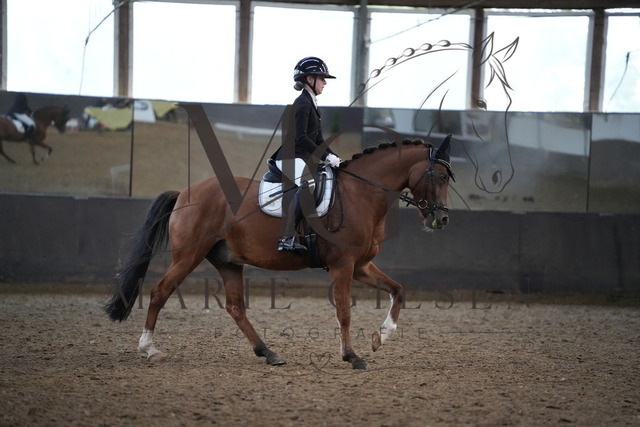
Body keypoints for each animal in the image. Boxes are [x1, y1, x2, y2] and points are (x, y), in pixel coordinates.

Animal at [104, 136, 455, 370]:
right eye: (438, 175)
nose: (442, 219)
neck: (361, 194)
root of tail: (185, 193)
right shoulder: (343, 265)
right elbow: (344, 311)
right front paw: (352, 356)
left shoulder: (361, 265)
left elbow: (398, 290)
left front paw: (381, 337)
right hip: (188, 256)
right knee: (160, 292)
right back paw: (149, 349)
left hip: (227, 261)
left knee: (235, 307)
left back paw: (268, 352)